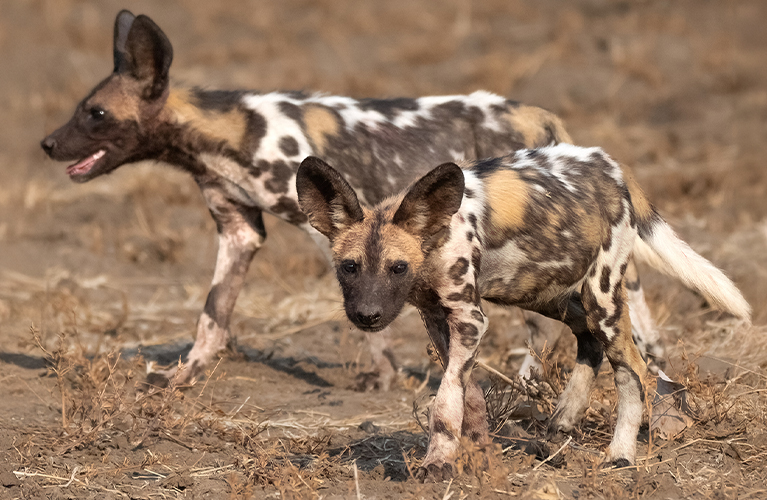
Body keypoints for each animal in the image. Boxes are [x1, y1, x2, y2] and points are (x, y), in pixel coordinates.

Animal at [39, 10, 660, 386]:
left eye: (95, 114)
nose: (47, 143)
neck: (228, 135)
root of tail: (543, 119)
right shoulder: (239, 231)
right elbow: (211, 316)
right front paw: (182, 377)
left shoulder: (328, 230)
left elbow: (366, 316)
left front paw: (384, 376)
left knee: (550, 324)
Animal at [296, 146, 752, 480]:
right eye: (349, 267)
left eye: (397, 268)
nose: (367, 315)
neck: (434, 242)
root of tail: (613, 167)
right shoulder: (439, 319)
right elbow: (468, 396)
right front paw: (480, 456)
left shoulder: (469, 319)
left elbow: (445, 402)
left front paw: (438, 463)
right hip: (547, 294)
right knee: (589, 341)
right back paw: (563, 420)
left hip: (601, 296)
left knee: (633, 371)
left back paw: (620, 455)